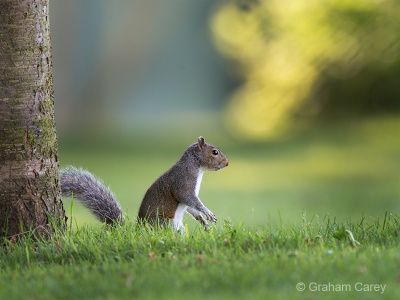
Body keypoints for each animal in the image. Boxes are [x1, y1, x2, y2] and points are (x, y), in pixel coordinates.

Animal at [59, 137, 228, 232]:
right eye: (214, 152)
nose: (227, 163)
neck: (196, 167)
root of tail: (138, 231)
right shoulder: (183, 184)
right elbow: (190, 200)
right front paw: (207, 213)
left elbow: (191, 208)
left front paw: (203, 220)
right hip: (165, 223)